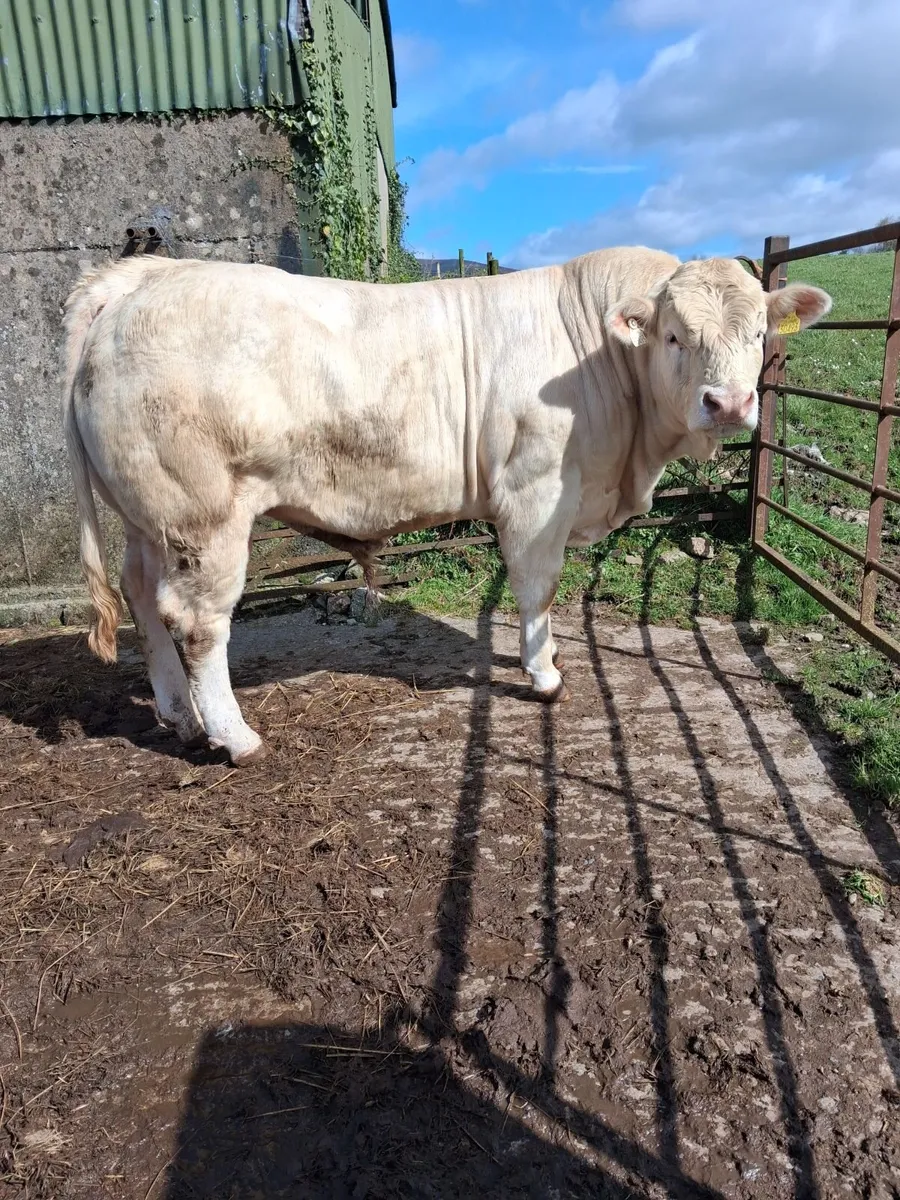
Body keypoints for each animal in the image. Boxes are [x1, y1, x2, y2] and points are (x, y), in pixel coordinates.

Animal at [62, 248, 831, 765]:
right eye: (675, 335)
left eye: (758, 334)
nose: (728, 403)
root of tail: (142, 279)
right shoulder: (536, 491)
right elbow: (537, 587)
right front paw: (544, 674)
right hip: (205, 518)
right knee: (197, 622)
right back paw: (233, 735)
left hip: (149, 520)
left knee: (142, 597)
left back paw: (177, 714)